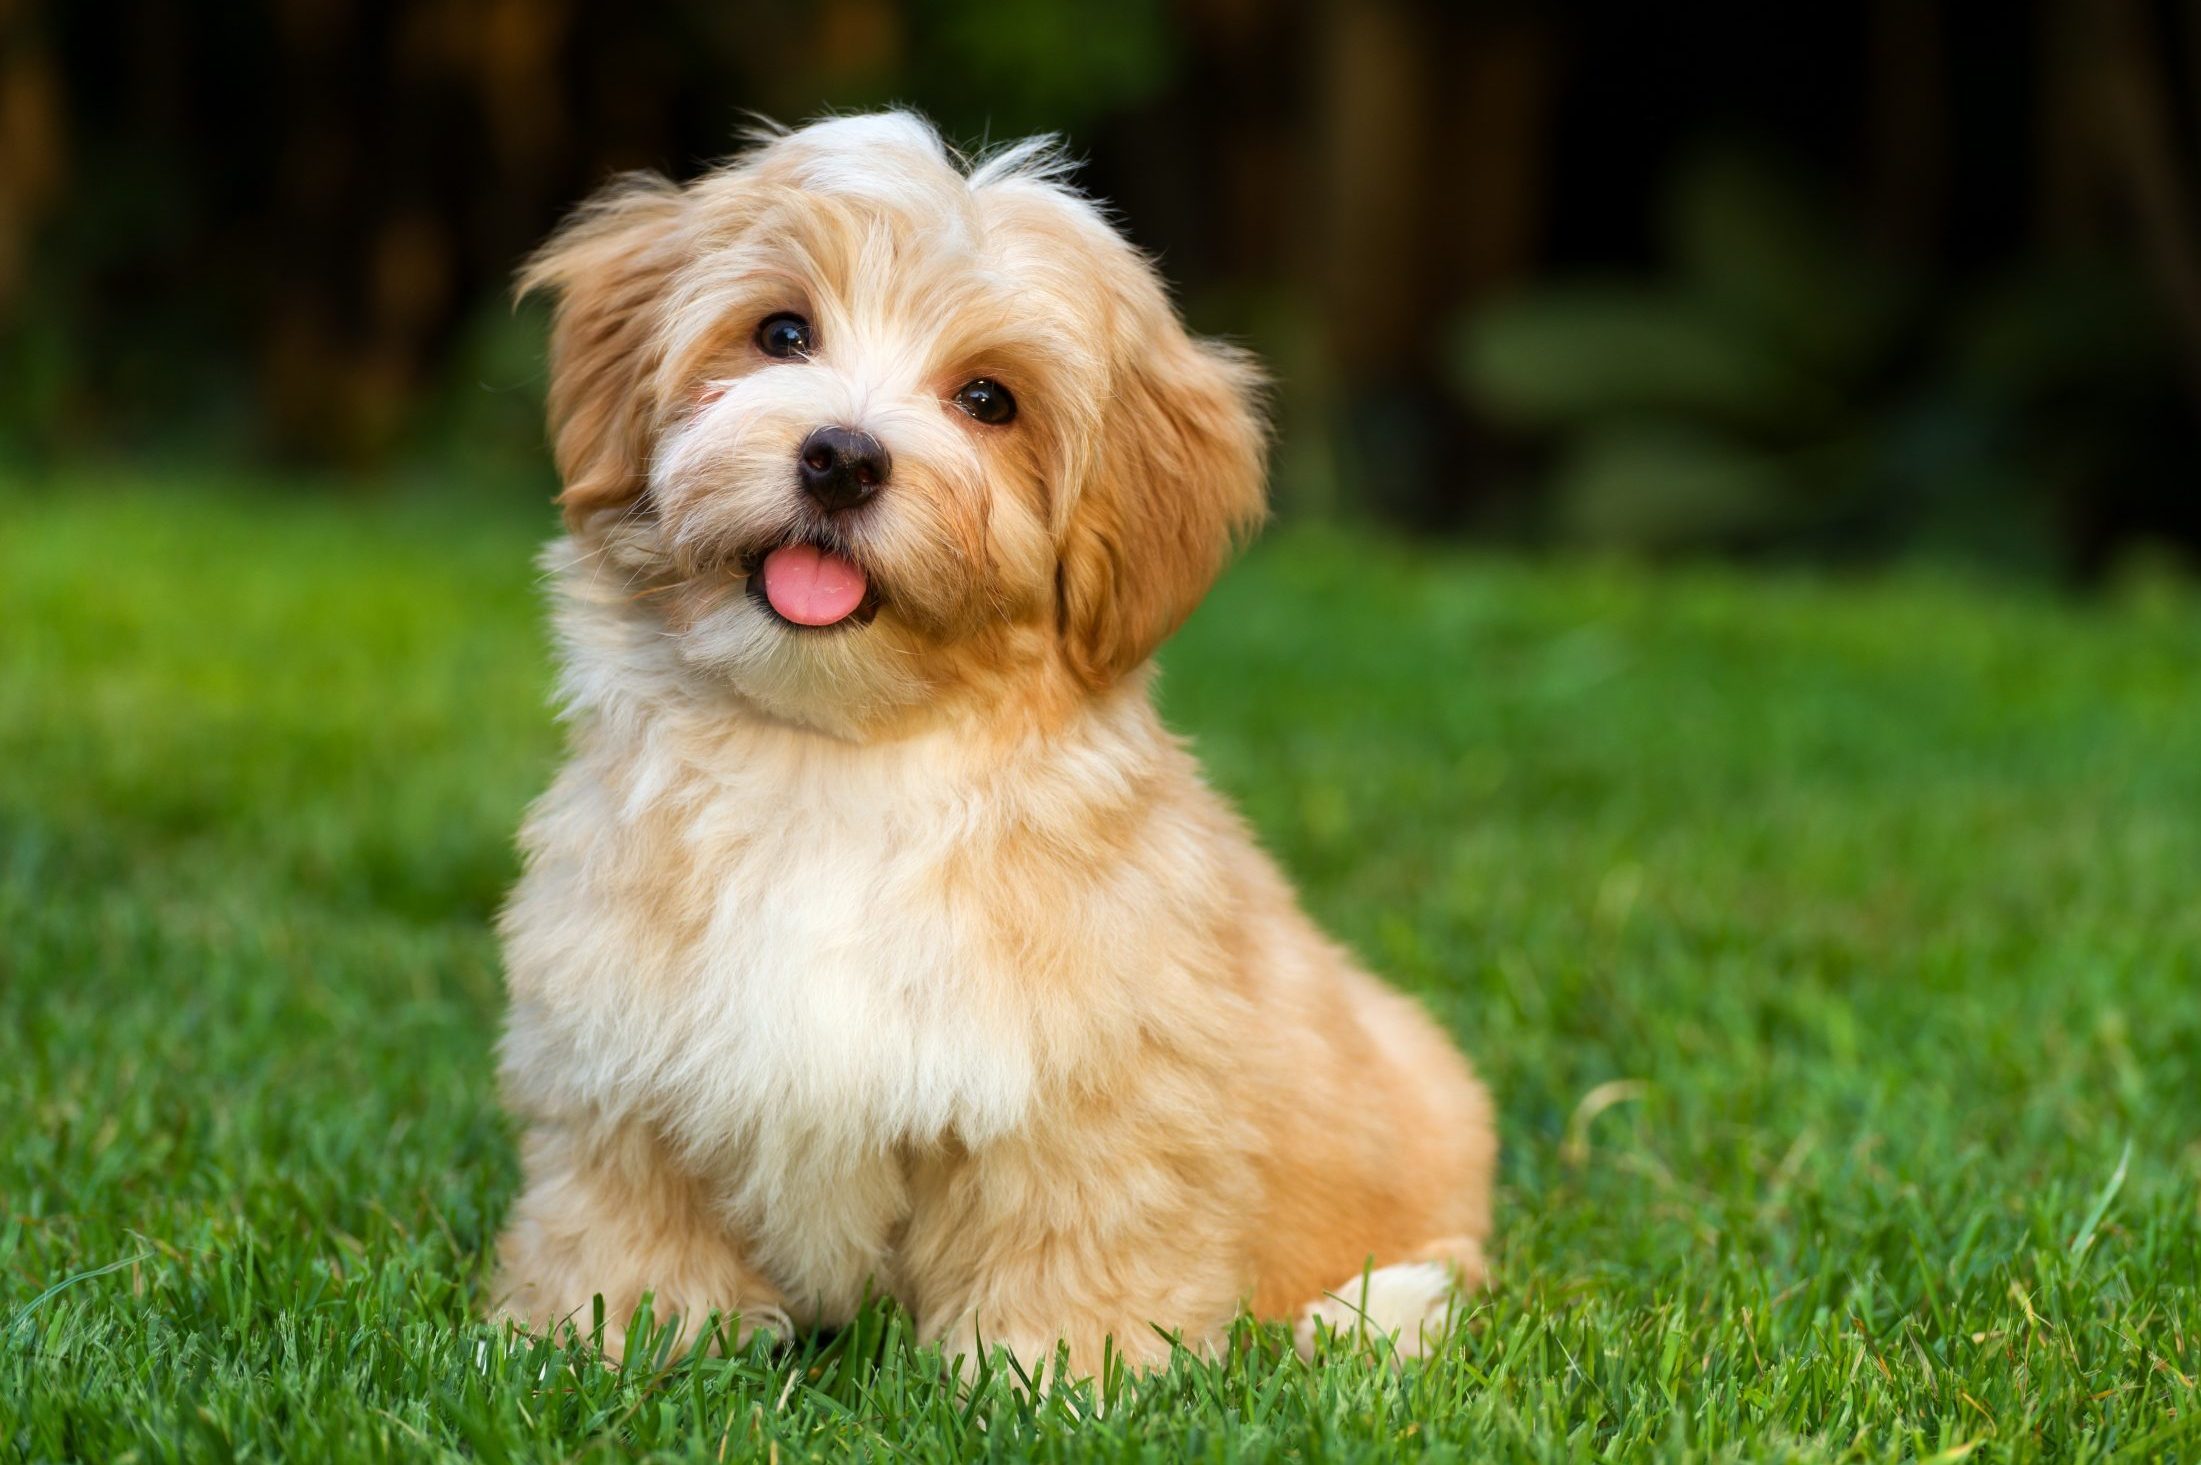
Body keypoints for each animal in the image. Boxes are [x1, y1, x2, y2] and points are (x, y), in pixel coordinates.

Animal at [493, 111, 1496, 1372]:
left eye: (986, 399)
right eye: (781, 332)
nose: (841, 456)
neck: (836, 753)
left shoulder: (1089, 1084)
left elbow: (1070, 1228)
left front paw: (1051, 1369)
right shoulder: (620, 1051)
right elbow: (625, 1210)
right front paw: (602, 1335)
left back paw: (1373, 1309)